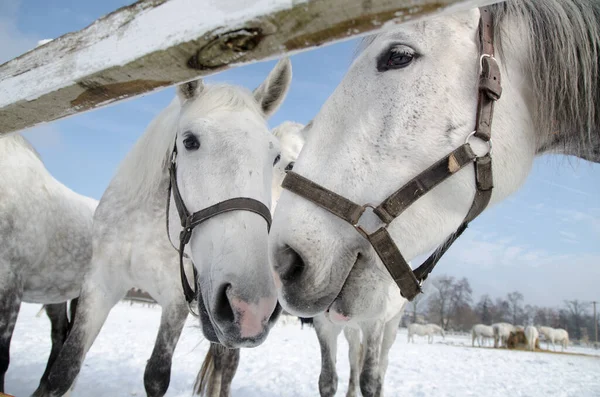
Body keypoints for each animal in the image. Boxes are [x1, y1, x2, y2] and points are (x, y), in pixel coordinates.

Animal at [34, 58, 292, 396]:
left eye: (274, 156)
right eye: (189, 141)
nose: (254, 306)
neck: (148, 225)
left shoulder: (175, 300)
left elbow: (156, 376)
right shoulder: (100, 284)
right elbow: (64, 370)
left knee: (227, 365)